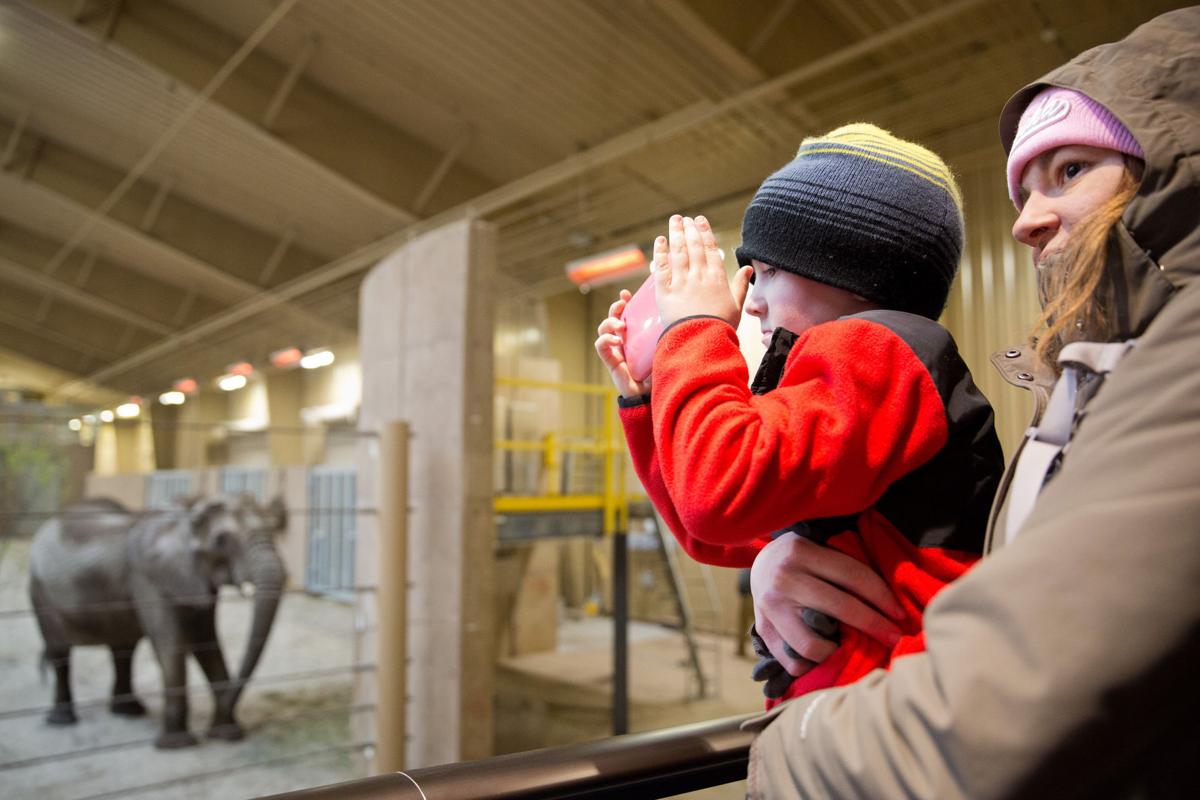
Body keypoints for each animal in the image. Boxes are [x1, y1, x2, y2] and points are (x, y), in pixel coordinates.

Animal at [28, 494, 288, 753]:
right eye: (221, 540)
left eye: (273, 529)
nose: (210, 733)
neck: (187, 513)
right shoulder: (148, 579)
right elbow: (171, 645)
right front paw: (177, 745)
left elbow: (208, 643)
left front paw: (227, 734)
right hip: (40, 591)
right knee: (59, 651)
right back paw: (61, 721)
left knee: (123, 649)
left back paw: (129, 711)